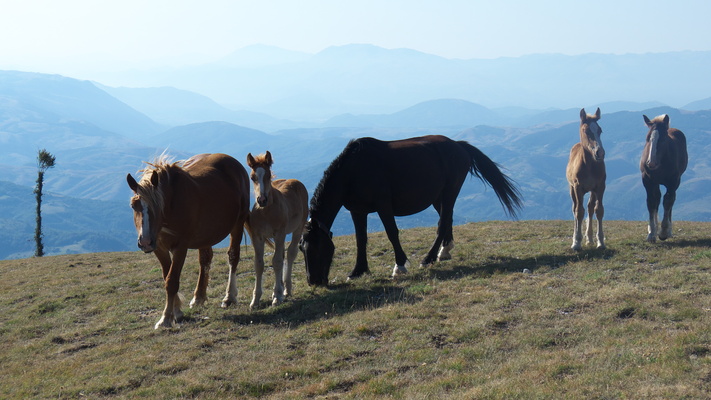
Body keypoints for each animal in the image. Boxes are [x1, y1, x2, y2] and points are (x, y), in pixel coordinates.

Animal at [126, 153, 252, 328]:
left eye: (156, 206)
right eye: (133, 205)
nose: (145, 242)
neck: (170, 208)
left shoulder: (180, 247)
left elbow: (172, 281)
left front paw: (165, 318)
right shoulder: (159, 248)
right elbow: (167, 276)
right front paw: (177, 311)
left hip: (238, 223)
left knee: (233, 257)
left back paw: (229, 297)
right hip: (206, 236)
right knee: (205, 260)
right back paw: (198, 297)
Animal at [246, 150, 308, 310]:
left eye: (268, 175)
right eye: (252, 177)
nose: (262, 200)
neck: (266, 212)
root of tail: (295, 181)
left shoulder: (280, 233)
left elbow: (277, 261)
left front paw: (277, 296)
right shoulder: (257, 236)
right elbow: (259, 264)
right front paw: (255, 300)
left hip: (297, 229)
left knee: (290, 253)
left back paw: (286, 289)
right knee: (282, 253)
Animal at [300, 136, 524, 286]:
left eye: (318, 248)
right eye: (302, 248)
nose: (313, 281)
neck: (354, 171)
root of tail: (458, 145)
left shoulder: (384, 206)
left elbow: (392, 233)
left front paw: (399, 266)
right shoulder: (357, 210)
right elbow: (360, 239)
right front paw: (358, 270)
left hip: (450, 192)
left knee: (443, 222)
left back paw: (428, 258)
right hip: (438, 197)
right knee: (448, 219)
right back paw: (444, 252)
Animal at [568, 106, 608, 250]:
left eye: (600, 130)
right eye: (586, 130)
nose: (600, 153)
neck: (590, 165)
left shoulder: (600, 186)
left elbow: (599, 210)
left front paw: (600, 242)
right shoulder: (578, 187)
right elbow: (579, 211)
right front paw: (576, 243)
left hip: (592, 190)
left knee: (590, 208)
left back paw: (590, 239)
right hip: (572, 189)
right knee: (575, 208)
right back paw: (576, 238)